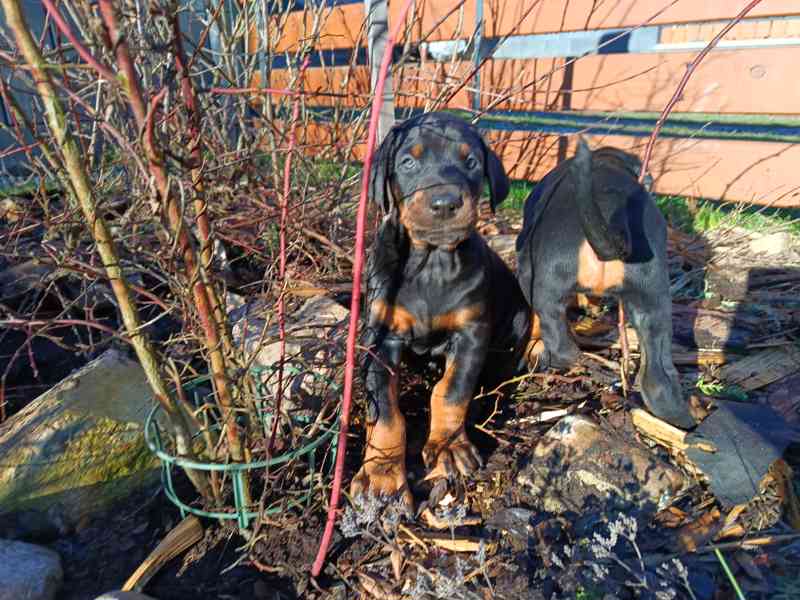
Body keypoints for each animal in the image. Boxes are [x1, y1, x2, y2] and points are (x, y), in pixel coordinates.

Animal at [352, 113, 532, 506]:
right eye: (408, 162)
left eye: (471, 162)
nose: (445, 202)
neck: (431, 264)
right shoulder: (381, 337)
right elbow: (386, 412)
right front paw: (382, 473)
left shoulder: (471, 334)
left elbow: (451, 390)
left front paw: (448, 446)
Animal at [512, 139, 692, 432]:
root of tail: (610, 218)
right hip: (653, 298)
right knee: (657, 378)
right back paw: (681, 420)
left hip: (542, 282)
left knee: (562, 346)